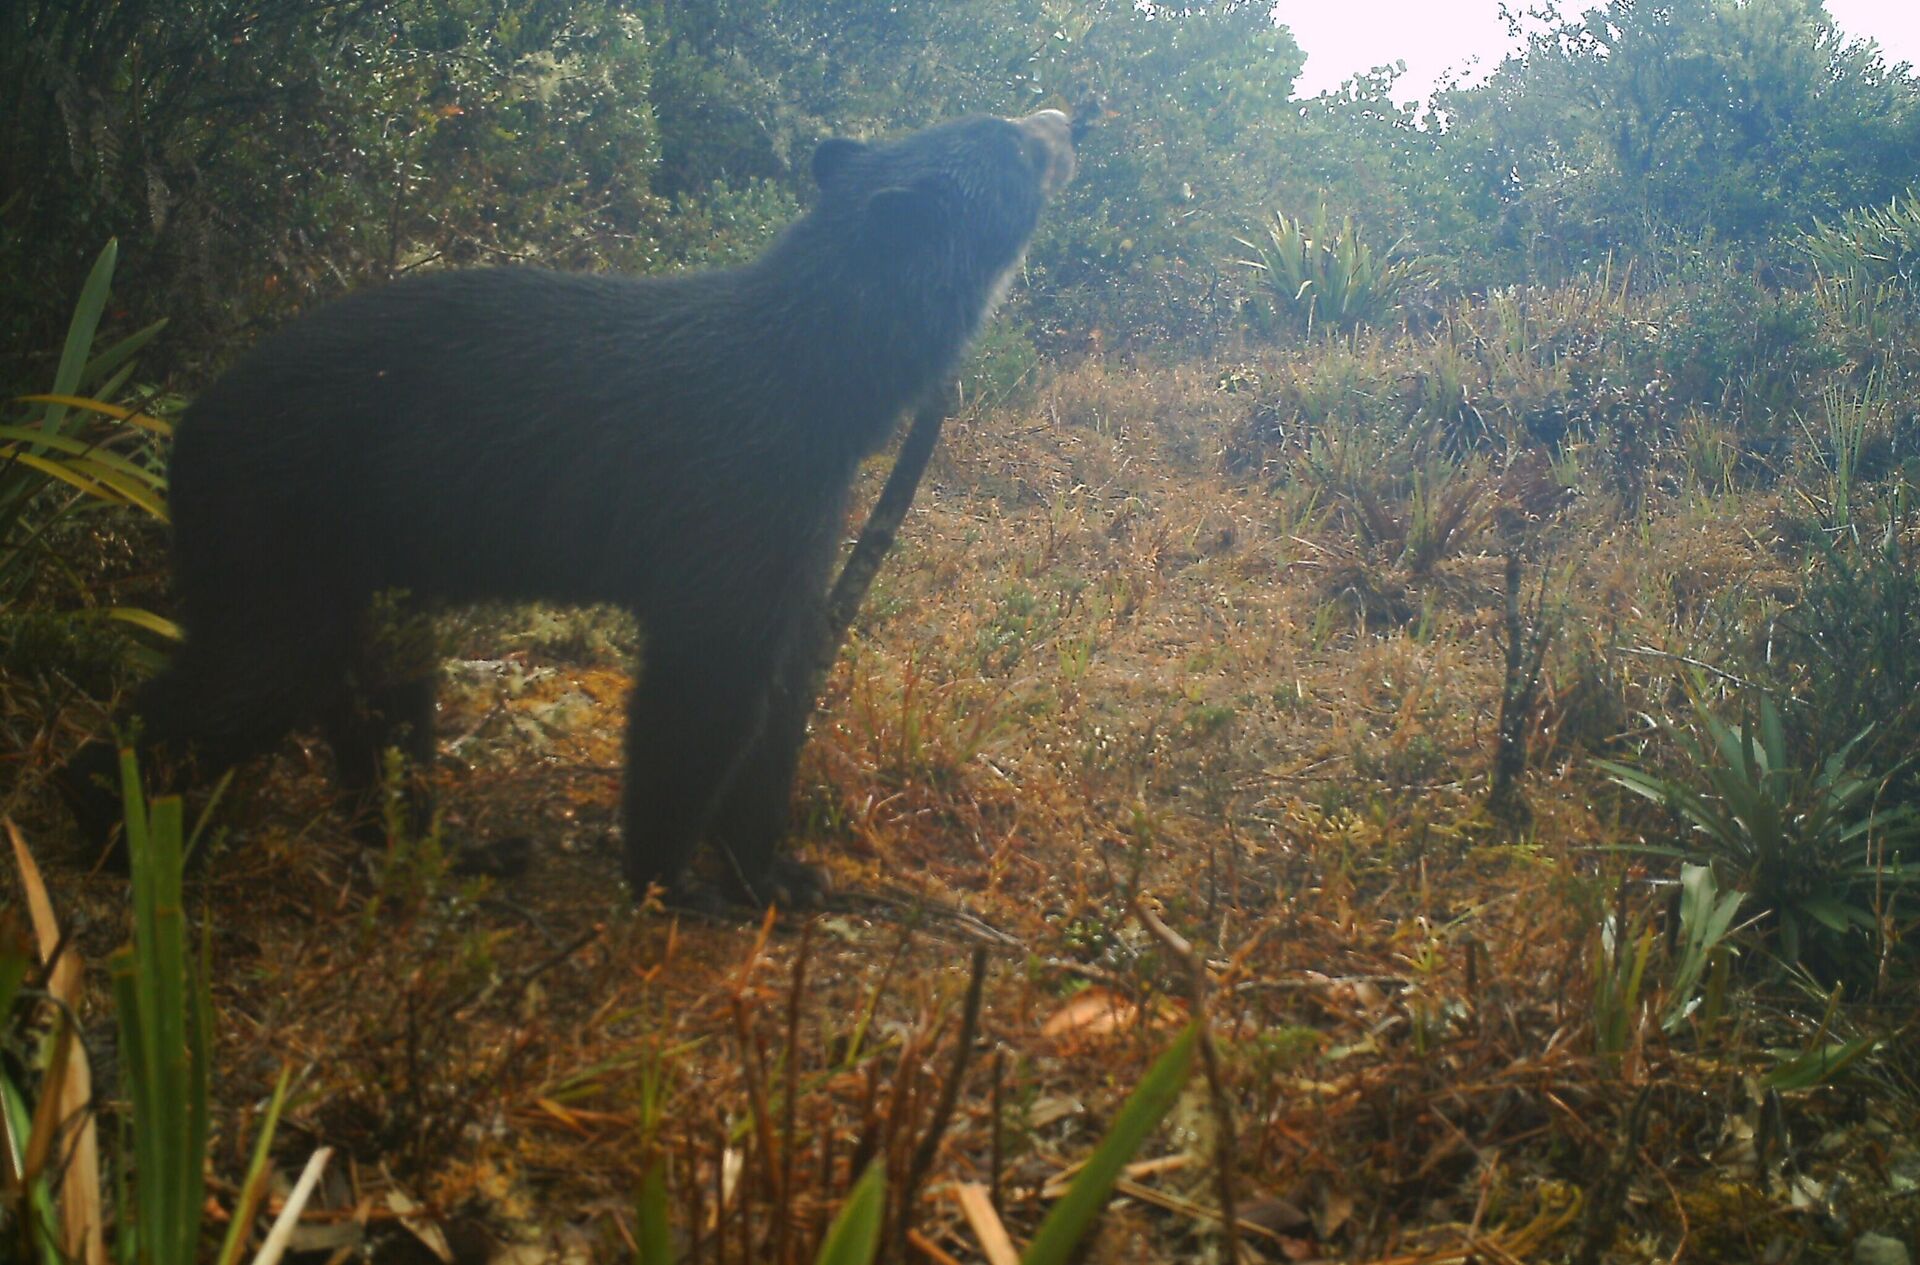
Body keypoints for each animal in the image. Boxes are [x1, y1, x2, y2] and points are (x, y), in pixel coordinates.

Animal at [60, 106, 1075, 902]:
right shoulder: (737, 483)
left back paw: (444, 848)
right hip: (272, 523)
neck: (824, 378)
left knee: (380, 703)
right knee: (256, 674)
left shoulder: (801, 517)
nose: (1069, 118)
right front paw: (669, 879)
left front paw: (780, 873)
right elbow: (706, 679)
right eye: (1010, 142)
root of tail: (181, 430)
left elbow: (781, 680)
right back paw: (112, 828)